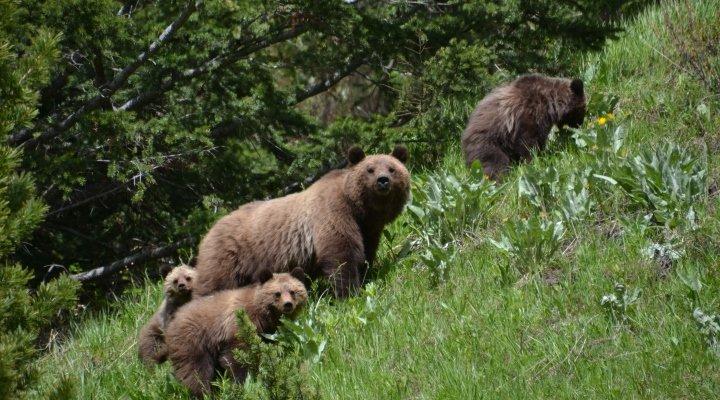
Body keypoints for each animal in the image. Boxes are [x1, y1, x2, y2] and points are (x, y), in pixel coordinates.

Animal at [165, 267, 308, 397]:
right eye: (277, 293)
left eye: (293, 292)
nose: (288, 304)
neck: (262, 316)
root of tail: (173, 321)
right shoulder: (236, 328)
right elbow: (235, 358)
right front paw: (241, 382)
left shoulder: (267, 332)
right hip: (193, 341)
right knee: (196, 370)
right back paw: (203, 393)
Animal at [193, 145, 411, 298]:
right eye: (370, 169)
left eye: (392, 168)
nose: (383, 180)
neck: (359, 209)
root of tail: (209, 230)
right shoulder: (332, 214)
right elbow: (341, 255)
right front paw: (349, 293)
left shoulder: (369, 229)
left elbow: (366, 254)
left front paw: (366, 277)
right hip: (230, 256)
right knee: (213, 286)